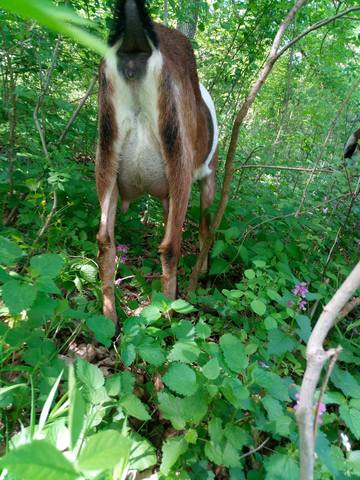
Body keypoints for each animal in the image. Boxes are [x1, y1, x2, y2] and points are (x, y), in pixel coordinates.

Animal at [95, 0, 218, 326]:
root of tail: (136, 44)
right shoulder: (207, 176)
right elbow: (205, 227)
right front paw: (201, 274)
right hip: (180, 162)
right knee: (171, 245)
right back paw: (171, 313)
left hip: (106, 153)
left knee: (105, 241)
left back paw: (109, 320)